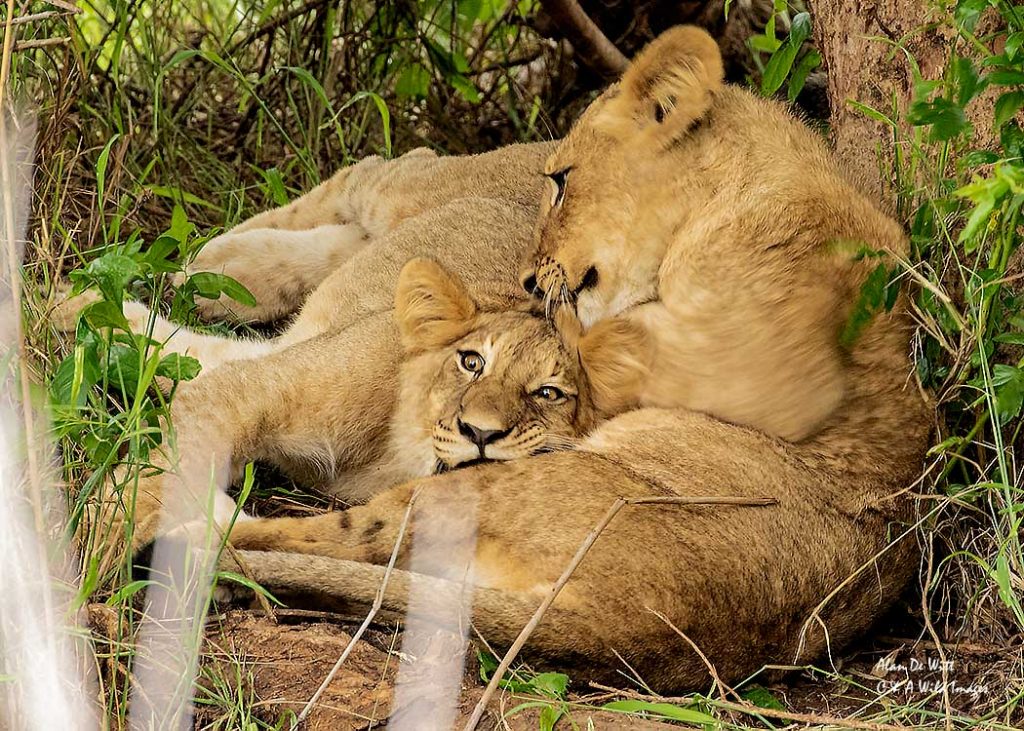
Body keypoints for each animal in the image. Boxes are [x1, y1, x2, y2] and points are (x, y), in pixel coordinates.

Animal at [65, 26, 930, 693]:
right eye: (472, 364)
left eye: (549, 392)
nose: (529, 278)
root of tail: (639, 627)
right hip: (436, 191)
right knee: (379, 170)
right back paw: (204, 263)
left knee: (289, 520)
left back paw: (170, 295)